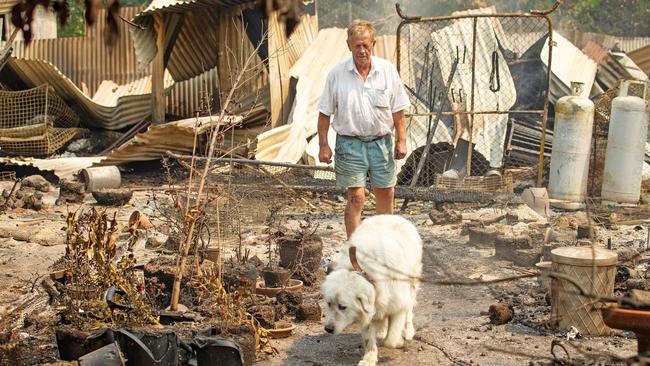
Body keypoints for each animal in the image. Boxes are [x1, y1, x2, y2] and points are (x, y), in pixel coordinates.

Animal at [322, 214, 422, 366]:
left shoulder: (398, 304)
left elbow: (390, 341)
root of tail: (392, 216)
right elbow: (369, 338)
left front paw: (398, 341)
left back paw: (407, 330)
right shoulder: (367, 312)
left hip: (412, 281)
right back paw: (382, 330)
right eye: (329, 304)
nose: (328, 329)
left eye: (342, 307)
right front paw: (369, 358)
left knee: (409, 308)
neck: (366, 272)